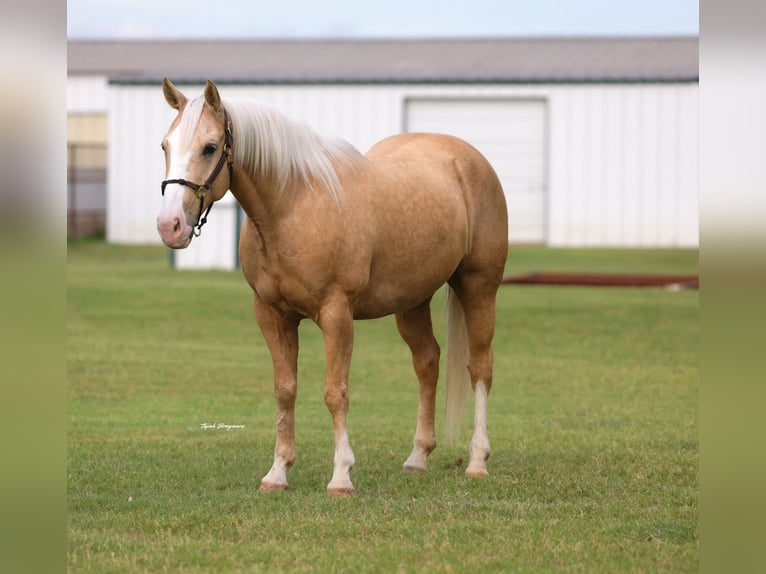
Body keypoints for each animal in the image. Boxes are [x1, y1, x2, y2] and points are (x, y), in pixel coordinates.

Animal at [157, 79, 508, 496]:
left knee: (480, 367)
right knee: (427, 363)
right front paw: (278, 472)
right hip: (412, 301)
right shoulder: (272, 316)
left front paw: (341, 476)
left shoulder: (336, 314)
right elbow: (285, 390)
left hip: (479, 286)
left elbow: (335, 393)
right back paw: (418, 457)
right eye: (165, 145)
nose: (170, 225)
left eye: (210, 147)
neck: (293, 206)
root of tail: (468, 158)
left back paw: (477, 461)